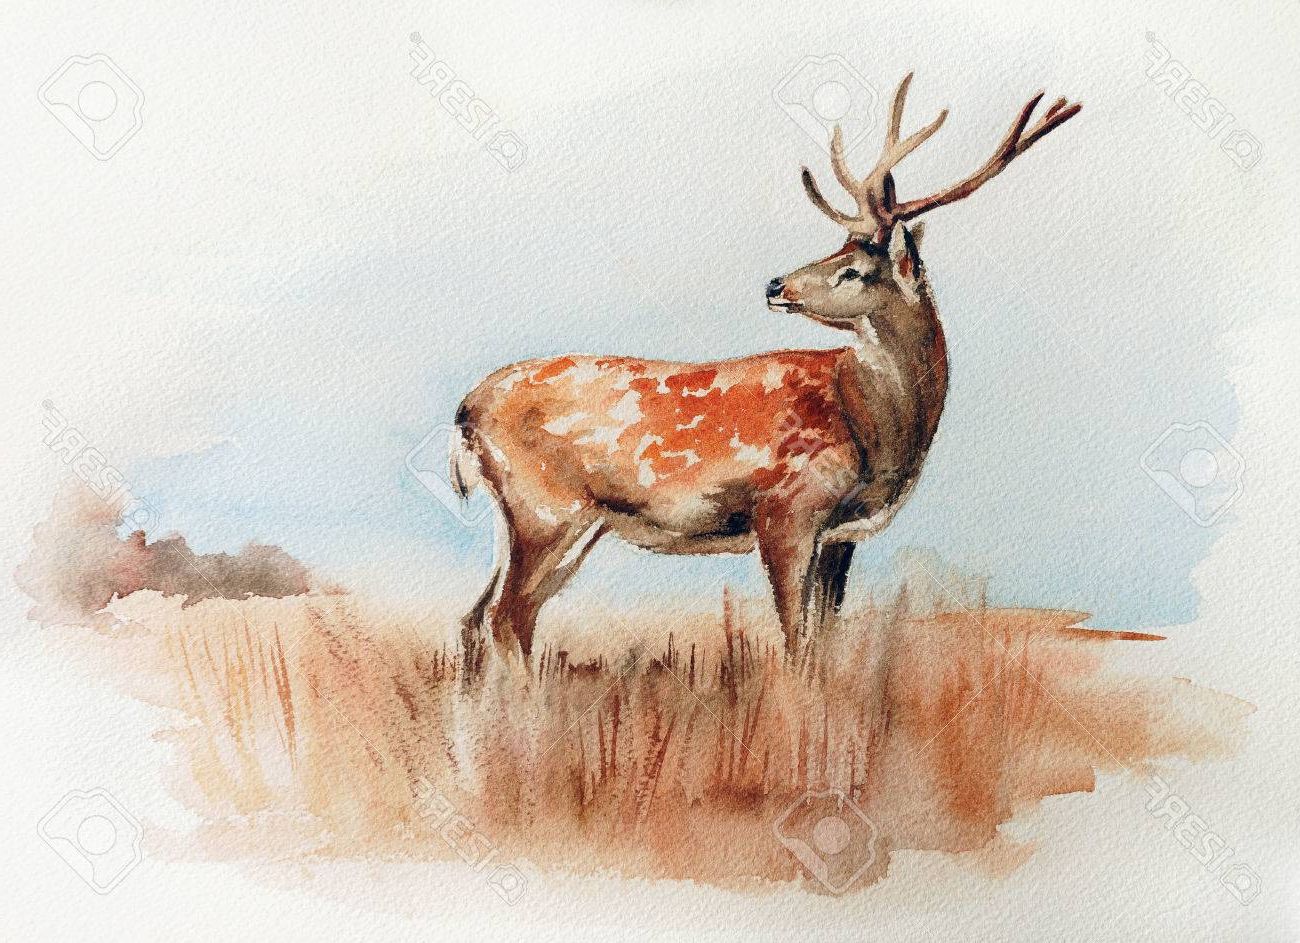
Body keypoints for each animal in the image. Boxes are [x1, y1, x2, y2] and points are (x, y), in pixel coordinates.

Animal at [449, 74, 1080, 667]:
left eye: (852, 268)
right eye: (838, 253)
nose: (776, 285)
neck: (874, 430)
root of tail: (464, 409)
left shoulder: (840, 535)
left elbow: (823, 641)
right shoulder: (786, 510)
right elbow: (795, 642)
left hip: (543, 522)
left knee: (477, 617)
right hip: (545, 508)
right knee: (506, 618)